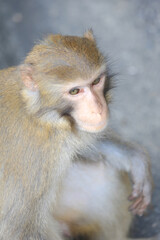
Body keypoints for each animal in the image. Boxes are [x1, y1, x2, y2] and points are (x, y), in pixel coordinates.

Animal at [0, 30, 154, 240]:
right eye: (75, 91)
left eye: (96, 81)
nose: (98, 110)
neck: (39, 115)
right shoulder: (33, 159)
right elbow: (19, 228)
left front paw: (136, 158)